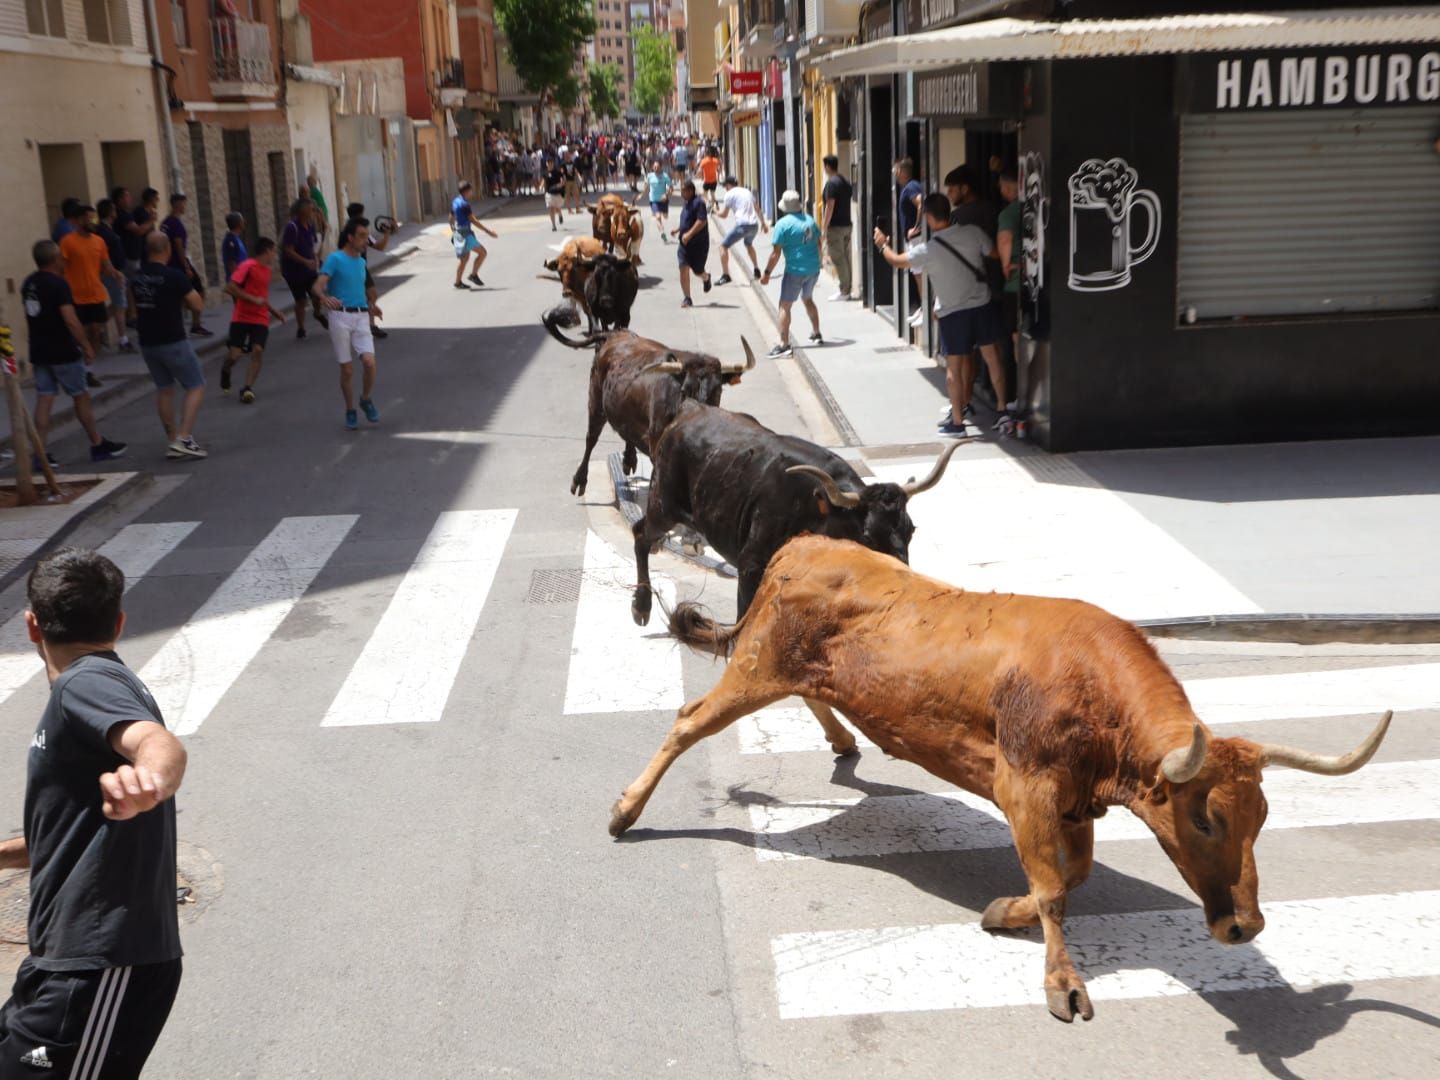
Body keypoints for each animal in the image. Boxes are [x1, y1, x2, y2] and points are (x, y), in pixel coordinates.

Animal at [541, 311, 760, 498]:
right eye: (685, 391)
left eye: (718, 391)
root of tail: (616, 334)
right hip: (595, 401)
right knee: (591, 438)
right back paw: (580, 480)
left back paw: (629, 459)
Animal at [610, 538, 1393, 1025]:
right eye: (1205, 818)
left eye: (1262, 818)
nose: (1244, 926)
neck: (1096, 694)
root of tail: (801, 545)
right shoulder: (1029, 790)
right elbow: (1053, 888)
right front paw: (1062, 982)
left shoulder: (1075, 805)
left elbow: (1071, 877)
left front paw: (1002, 914)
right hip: (756, 667)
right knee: (686, 723)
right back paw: (625, 811)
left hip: (797, 671)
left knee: (812, 699)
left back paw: (841, 741)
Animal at [630, 403, 967, 624]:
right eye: (869, 537)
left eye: (911, 530)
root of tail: (686, 414)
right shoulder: (751, 565)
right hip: (664, 505)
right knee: (640, 534)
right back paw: (642, 606)